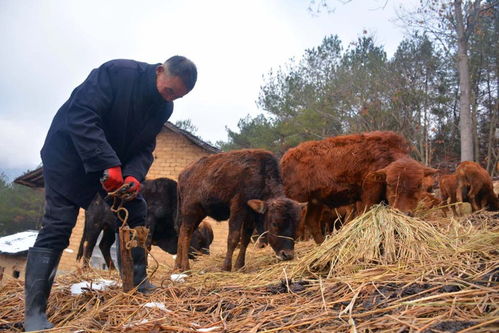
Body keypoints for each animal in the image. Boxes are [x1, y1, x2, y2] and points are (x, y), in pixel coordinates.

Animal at [174, 149, 302, 272]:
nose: (287, 255)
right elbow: (233, 237)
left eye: (296, 224)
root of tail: (182, 174)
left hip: (200, 213)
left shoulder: (250, 216)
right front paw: (226, 267)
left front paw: (240, 266)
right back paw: (186, 268)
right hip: (190, 210)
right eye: (274, 223)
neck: (260, 176)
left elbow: (245, 239)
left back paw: (177, 267)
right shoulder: (238, 209)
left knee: (182, 234)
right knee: (186, 234)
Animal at [284, 131, 440, 243]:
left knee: (312, 223)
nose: (403, 213)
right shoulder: (368, 197)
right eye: (390, 184)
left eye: (418, 185)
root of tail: (285, 158)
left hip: (315, 201)